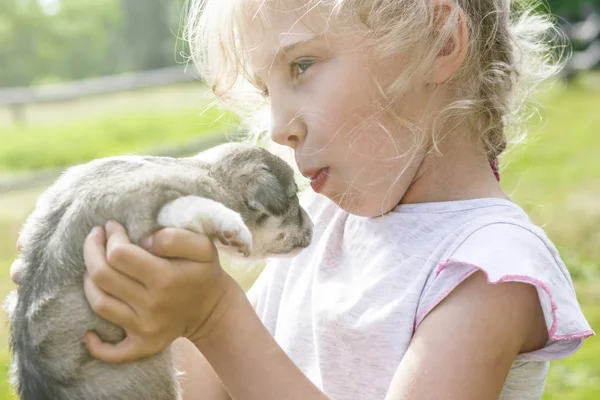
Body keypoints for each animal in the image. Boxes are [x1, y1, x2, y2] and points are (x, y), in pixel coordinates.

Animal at [4, 142, 312, 400]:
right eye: (295, 197)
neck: (206, 172)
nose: (312, 226)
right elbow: (190, 206)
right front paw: (233, 228)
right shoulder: (155, 213)